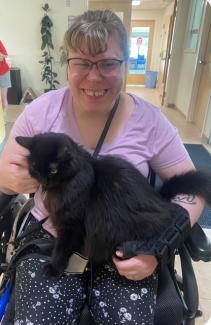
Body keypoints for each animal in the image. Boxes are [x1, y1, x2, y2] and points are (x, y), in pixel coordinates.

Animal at [16, 132, 211, 276]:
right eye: (34, 168)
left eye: (53, 170)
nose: (43, 180)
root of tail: (160, 199)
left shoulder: (72, 225)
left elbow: (62, 247)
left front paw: (55, 267)